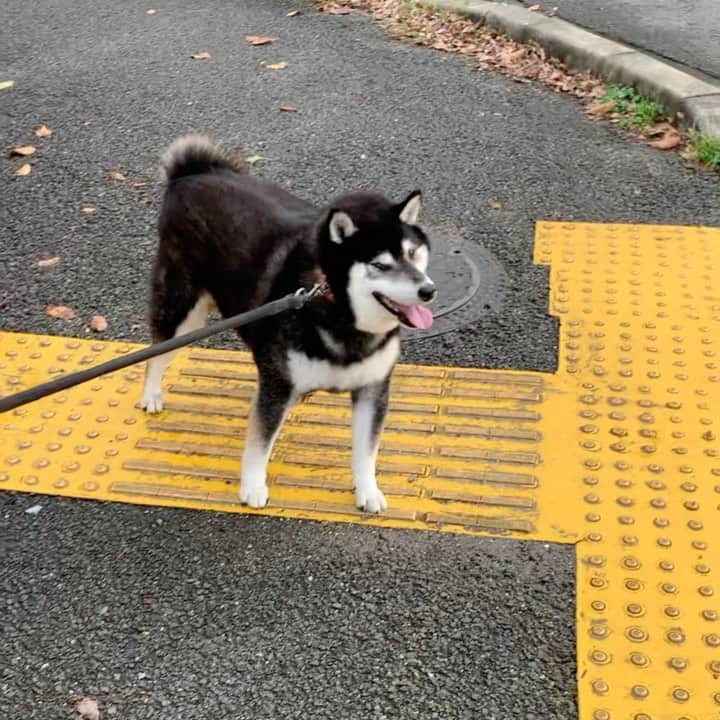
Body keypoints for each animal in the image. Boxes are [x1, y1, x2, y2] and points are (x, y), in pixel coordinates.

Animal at [139, 135, 436, 516]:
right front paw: (252, 487)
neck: (336, 310)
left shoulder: (373, 389)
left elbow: (366, 453)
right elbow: (258, 444)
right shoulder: (277, 386)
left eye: (413, 253)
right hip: (184, 314)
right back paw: (151, 395)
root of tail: (191, 174)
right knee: (156, 354)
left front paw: (368, 490)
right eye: (380, 266)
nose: (427, 290)